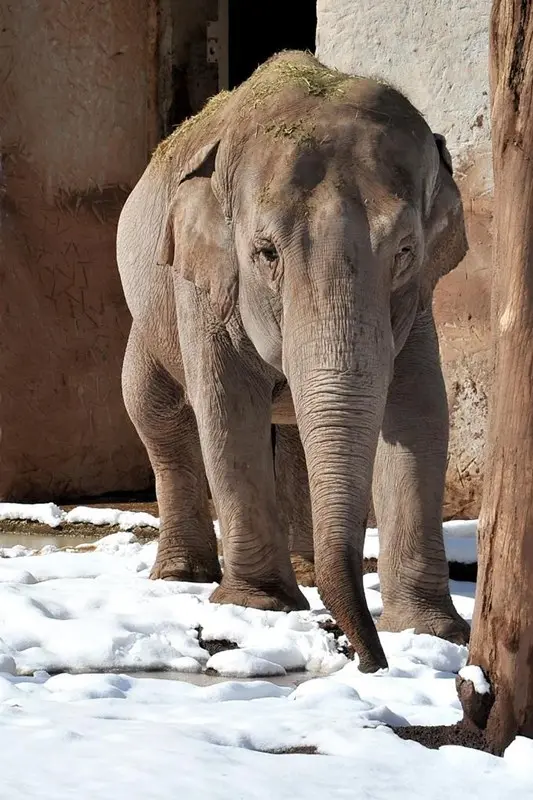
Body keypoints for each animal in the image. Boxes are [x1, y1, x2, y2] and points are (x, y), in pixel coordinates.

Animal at [117, 50, 470, 672]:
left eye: (406, 251)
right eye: (265, 253)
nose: (370, 662)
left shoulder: (418, 300)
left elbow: (420, 411)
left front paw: (433, 632)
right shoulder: (205, 284)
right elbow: (227, 407)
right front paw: (259, 606)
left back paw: (305, 573)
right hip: (151, 315)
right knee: (155, 410)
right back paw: (184, 576)